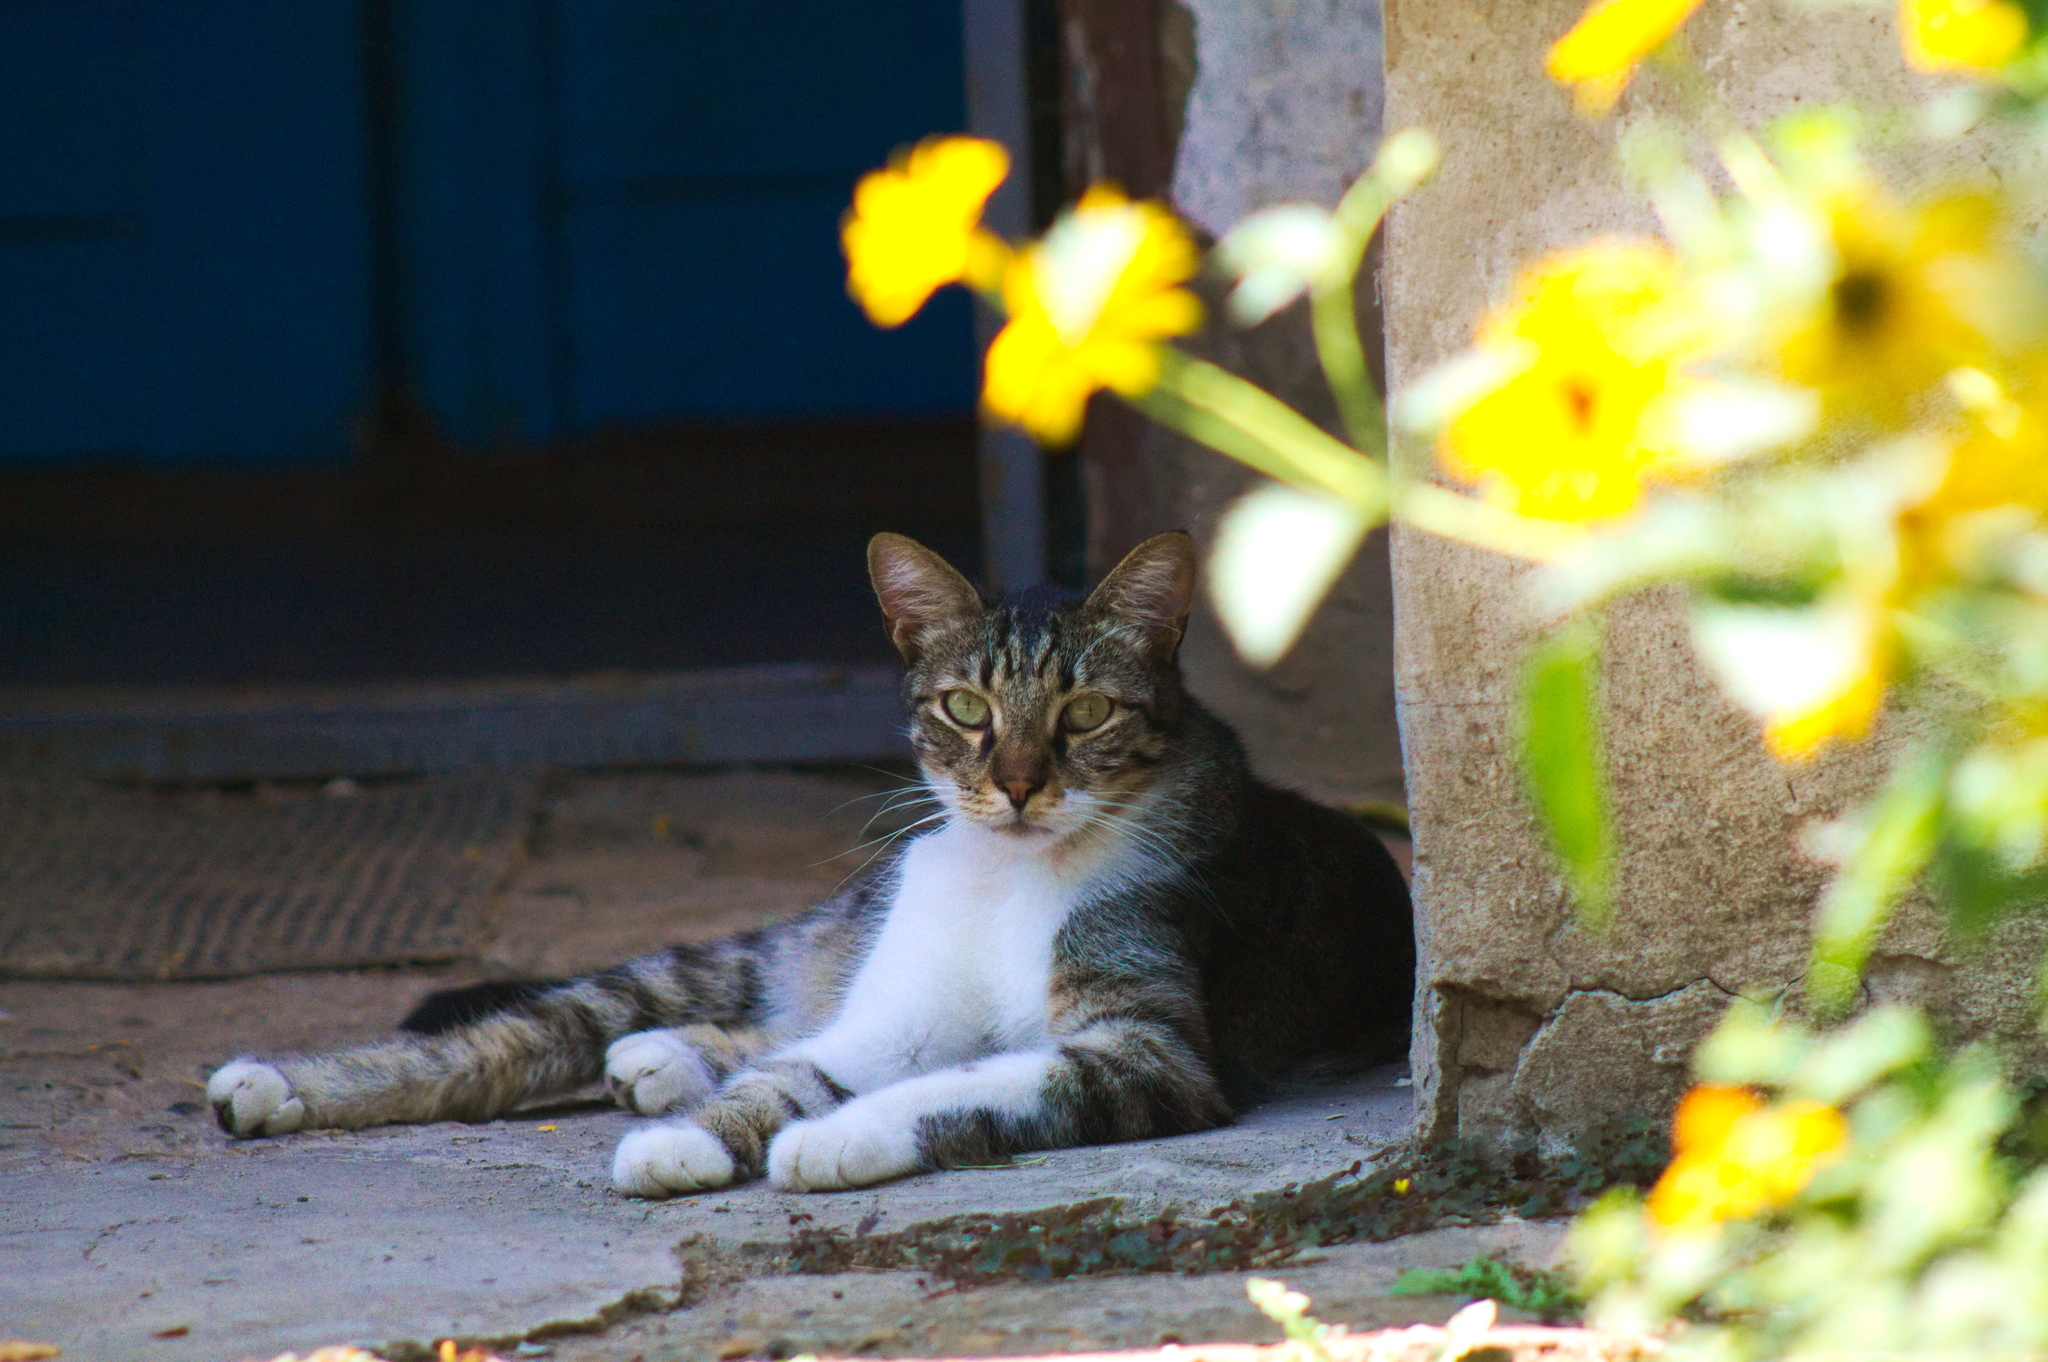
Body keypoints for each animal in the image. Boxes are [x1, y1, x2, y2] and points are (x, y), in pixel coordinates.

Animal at [211, 532, 1425, 1204]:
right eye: (966, 708)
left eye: (1085, 715)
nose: (1019, 784)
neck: (1009, 873)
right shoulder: (894, 1018)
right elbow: (792, 1073)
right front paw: (697, 1140)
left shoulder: (1151, 1049)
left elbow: (978, 1082)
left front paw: (831, 1140)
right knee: (525, 1038)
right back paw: (284, 1085)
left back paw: (659, 1063)